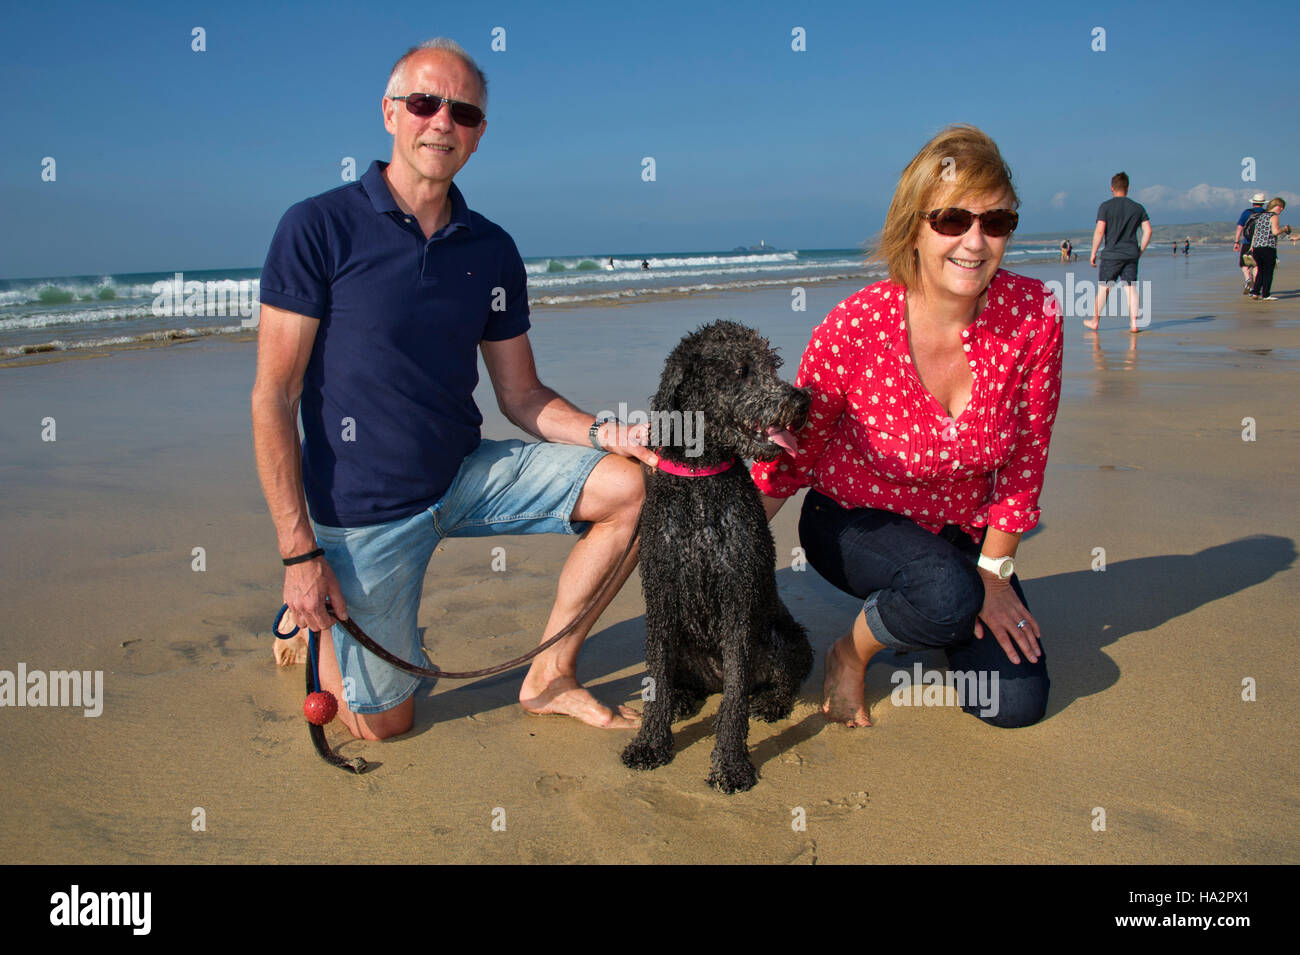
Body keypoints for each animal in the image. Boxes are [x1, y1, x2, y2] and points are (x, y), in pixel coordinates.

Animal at [618, 320, 811, 789]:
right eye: (741, 370)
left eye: (771, 363)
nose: (802, 401)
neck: (700, 481)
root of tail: (712, 677)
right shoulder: (662, 596)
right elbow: (656, 676)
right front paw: (650, 743)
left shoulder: (738, 598)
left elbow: (737, 696)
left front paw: (731, 763)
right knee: (679, 680)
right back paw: (683, 700)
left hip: (780, 635)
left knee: (783, 679)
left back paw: (771, 703)